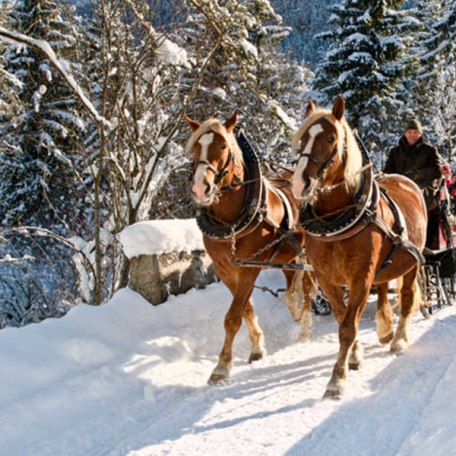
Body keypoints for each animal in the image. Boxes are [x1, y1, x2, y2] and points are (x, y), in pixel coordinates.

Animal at [185, 112, 318, 382]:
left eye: (223, 146)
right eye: (194, 146)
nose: (200, 188)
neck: (232, 221)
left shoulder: (249, 267)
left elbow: (233, 316)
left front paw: (222, 366)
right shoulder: (225, 268)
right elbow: (245, 308)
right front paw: (257, 348)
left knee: (309, 289)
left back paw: (305, 330)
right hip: (288, 257)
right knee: (292, 293)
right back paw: (297, 315)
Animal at [290, 97, 426, 400]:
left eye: (330, 138)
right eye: (302, 138)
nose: (299, 183)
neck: (337, 219)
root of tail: (407, 181)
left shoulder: (361, 277)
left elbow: (348, 327)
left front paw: (336, 379)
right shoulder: (327, 278)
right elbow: (342, 318)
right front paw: (354, 357)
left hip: (412, 263)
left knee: (408, 297)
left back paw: (398, 340)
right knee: (385, 290)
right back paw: (385, 330)